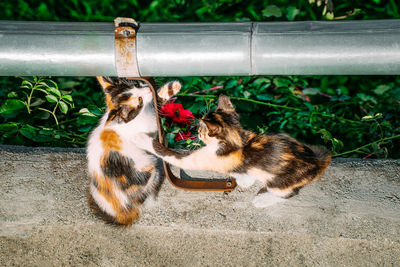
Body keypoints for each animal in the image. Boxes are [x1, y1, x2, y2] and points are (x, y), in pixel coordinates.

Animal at [87, 76, 181, 225]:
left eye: (137, 84)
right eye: (139, 100)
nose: (148, 88)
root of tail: (122, 213)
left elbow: (155, 103)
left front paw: (171, 87)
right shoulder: (146, 127)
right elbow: (155, 112)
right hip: (146, 172)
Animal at [134, 95, 332, 208]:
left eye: (201, 129)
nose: (197, 132)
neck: (239, 141)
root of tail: (318, 162)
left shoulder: (205, 158)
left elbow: (169, 154)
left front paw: (140, 138)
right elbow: (242, 172)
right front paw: (245, 180)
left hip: (280, 182)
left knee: (288, 193)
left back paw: (263, 200)